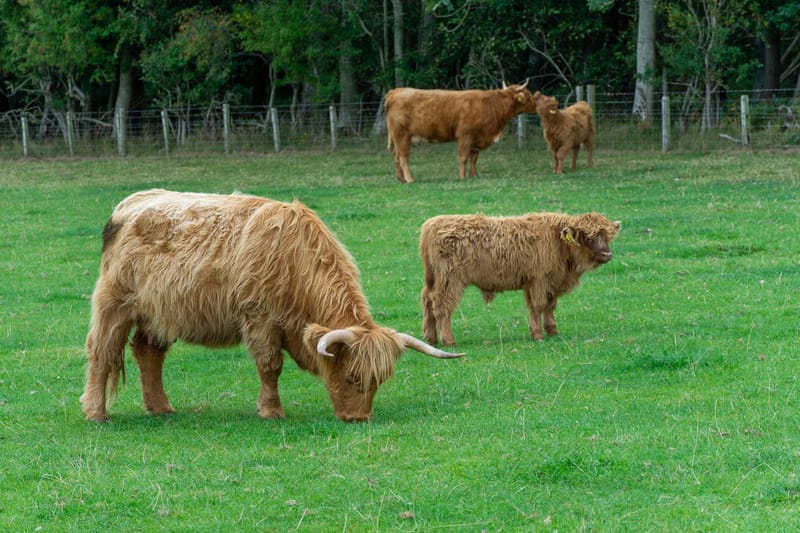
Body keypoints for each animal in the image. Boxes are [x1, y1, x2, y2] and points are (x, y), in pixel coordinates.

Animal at [80, 189, 463, 423]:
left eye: (378, 381)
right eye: (352, 376)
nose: (359, 418)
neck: (293, 259)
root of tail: (130, 204)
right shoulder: (259, 318)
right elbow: (270, 366)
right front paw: (271, 410)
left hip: (158, 313)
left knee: (148, 353)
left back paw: (161, 407)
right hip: (114, 304)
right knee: (102, 352)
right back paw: (97, 413)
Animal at [384, 81, 539, 183]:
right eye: (528, 94)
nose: (536, 103)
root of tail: (395, 92)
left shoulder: (476, 139)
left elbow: (474, 158)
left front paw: (474, 175)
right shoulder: (465, 136)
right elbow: (463, 157)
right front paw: (462, 177)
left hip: (397, 138)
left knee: (397, 157)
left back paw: (401, 179)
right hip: (402, 136)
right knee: (403, 158)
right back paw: (410, 179)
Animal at [419, 211, 620, 346]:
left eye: (607, 236)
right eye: (589, 237)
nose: (607, 255)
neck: (559, 242)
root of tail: (432, 223)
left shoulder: (551, 282)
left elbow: (550, 306)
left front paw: (552, 330)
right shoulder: (538, 281)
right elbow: (538, 306)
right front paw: (538, 334)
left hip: (433, 280)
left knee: (428, 301)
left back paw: (431, 338)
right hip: (450, 280)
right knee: (442, 306)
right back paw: (448, 340)